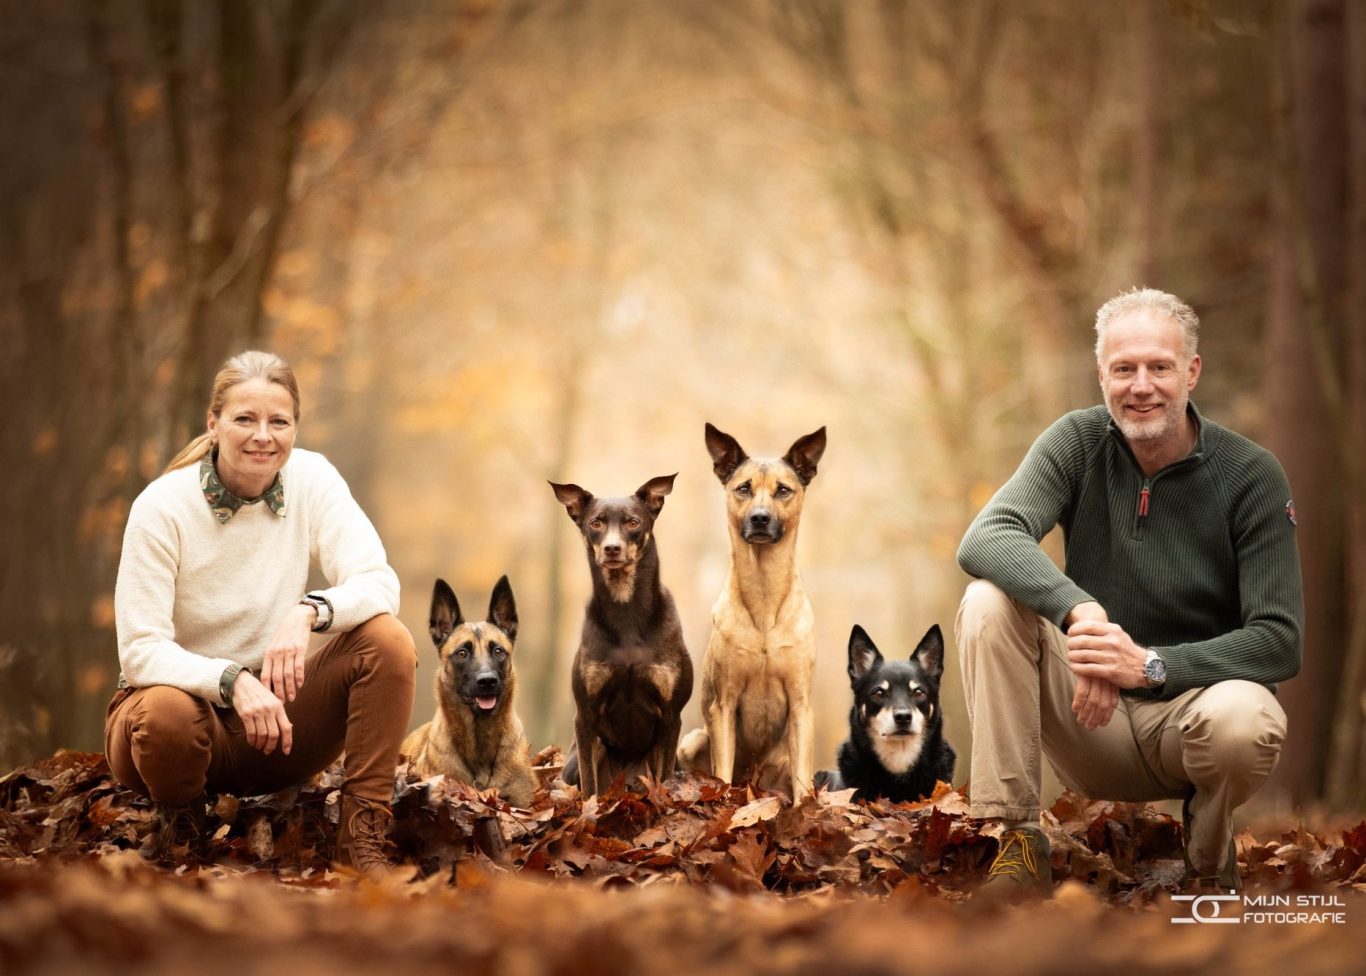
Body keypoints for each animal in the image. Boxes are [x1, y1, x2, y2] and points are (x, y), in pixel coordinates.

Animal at [546, 475, 693, 792]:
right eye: (596, 523)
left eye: (633, 522)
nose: (612, 548)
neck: (626, 610)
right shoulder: (585, 716)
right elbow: (589, 784)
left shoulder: (671, 715)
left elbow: (664, 778)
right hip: (577, 763)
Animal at [677, 423, 825, 798]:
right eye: (743, 488)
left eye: (783, 490)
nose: (760, 519)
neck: (764, 593)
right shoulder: (723, 705)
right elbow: (723, 770)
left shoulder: (802, 706)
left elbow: (803, 781)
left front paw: (806, 808)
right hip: (693, 740)